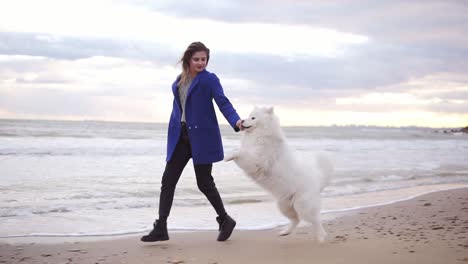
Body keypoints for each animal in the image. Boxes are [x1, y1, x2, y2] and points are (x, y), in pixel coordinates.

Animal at [224, 106, 330, 242]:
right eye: (248, 116)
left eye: (253, 118)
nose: (241, 121)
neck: (260, 134)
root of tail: (317, 180)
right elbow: (240, 151)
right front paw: (229, 155)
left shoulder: (256, 161)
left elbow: (240, 152)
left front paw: (228, 156)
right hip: (284, 205)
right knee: (296, 220)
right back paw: (285, 232)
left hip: (302, 206)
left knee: (316, 220)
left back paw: (321, 237)